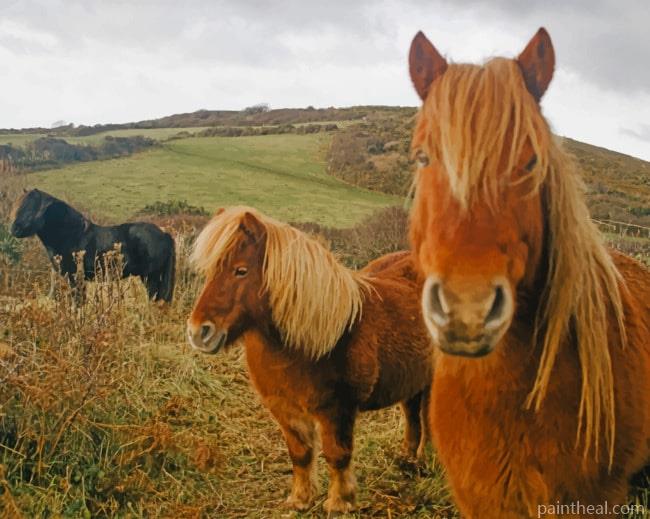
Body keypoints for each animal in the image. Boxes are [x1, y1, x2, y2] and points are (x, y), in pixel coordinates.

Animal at [10, 189, 175, 302]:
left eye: (31, 208)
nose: (14, 229)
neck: (72, 235)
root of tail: (163, 234)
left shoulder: (75, 278)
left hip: (151, 276)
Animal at [186, 207, 433, 513]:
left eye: (240, 270)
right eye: (210, 271)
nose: (198, 332)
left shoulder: (337, 409)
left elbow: (337, 454)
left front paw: (340, 502)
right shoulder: (284, 409)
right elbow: (300, 454)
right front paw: (300, 499)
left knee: (428, 418)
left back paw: (426, 462)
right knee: (412, 413)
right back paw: (407, 459)